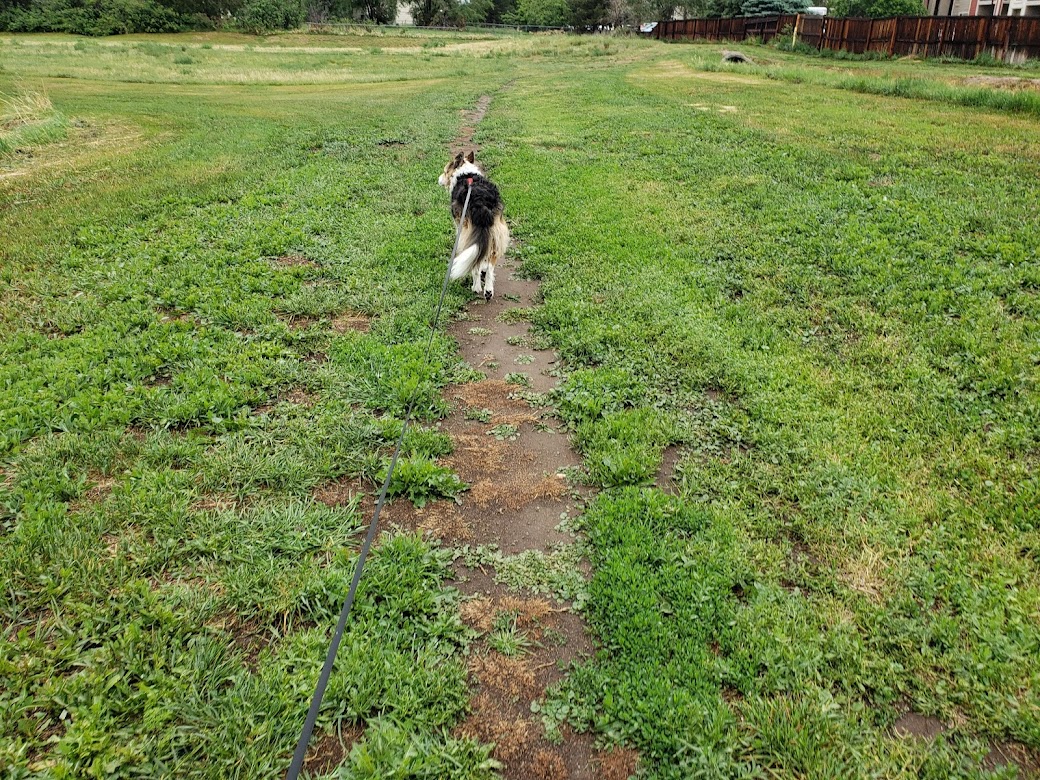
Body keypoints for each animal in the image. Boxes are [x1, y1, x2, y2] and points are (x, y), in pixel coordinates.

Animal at [438, 151, 509, 301]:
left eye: (445, 171)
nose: (438, 178)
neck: (465, 174)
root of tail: (481, 202)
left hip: (467, 233)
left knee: (475, 263)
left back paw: (476, 287)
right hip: (497, 233)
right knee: (490, 264)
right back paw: (488, 290)